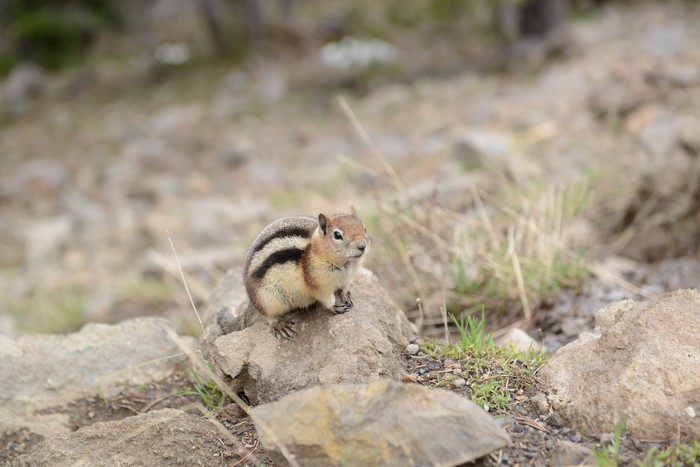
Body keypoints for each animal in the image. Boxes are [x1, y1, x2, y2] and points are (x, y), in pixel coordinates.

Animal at [243, 208, 369, 339]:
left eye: (364, 228)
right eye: (337, 235)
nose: (362, 246)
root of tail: (251, 299)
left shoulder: (348, 277)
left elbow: (345, 286)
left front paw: (345, 295)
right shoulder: (319, 284)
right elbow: (326, 298)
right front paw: (334, 305)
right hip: (267, 298)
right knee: (268, 315)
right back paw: (280, 325)